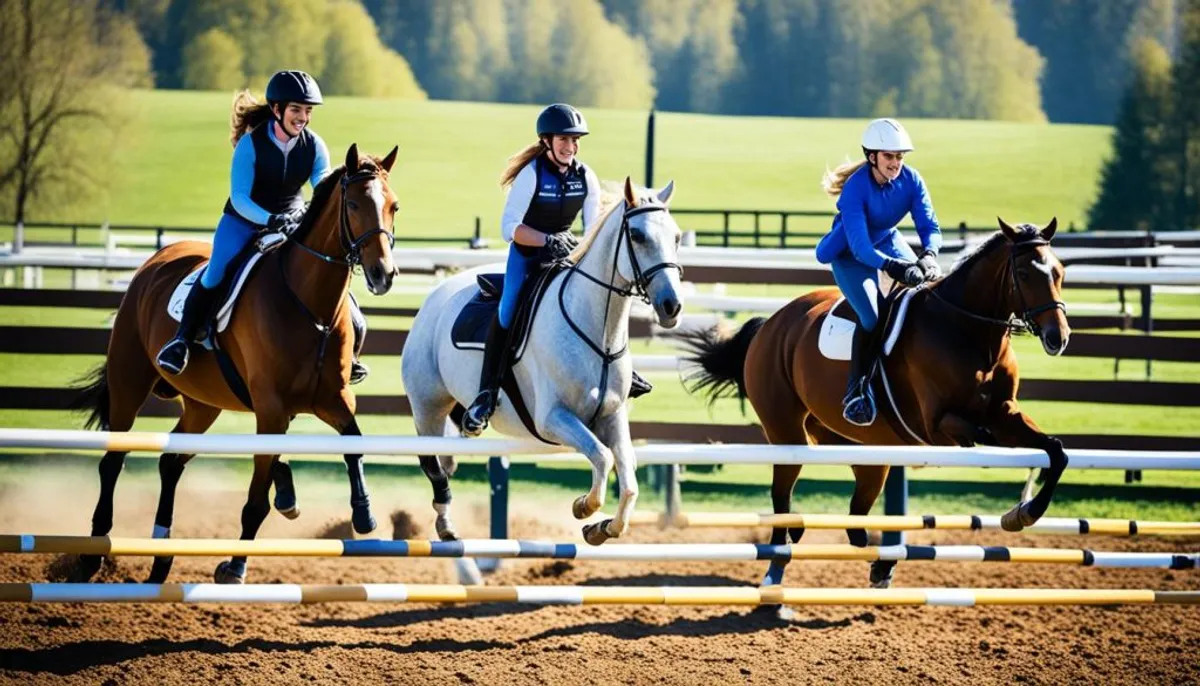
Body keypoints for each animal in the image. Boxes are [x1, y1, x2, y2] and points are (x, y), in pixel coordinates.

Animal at [73, 144, 403, 585]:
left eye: (393, 207)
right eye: (352, 205)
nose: (384, 274)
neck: (309, 303)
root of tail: (156, 260)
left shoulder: (333, 398)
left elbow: (354, 444)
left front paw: (364, 514)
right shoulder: (271, 408)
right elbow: (255, 502)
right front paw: (235, 566)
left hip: (203, 405)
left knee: (170, 462)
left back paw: (161, 557)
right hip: (129, 383)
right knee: (113, 462)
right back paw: (93, 555)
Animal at [403, 176, 686, 546]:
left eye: (677, 237)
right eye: (637, 235)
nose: (672, 306)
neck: (599, 332)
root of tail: (438, 293)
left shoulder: (611, 416)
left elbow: (628, 476)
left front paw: (603, 528)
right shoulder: (553, 418)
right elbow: (602, 455)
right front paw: (584, 506)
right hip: (427, 407)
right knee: (432, 463)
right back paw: (446, 524)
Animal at [686, 218, 1070, 590]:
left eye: (1058, 271)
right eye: (1024, 275)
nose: (1059, 338)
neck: (968, 331)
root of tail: (772, 324)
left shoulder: (1005, 412)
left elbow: (1055, 450)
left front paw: (1026, 512)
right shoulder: (936, 425)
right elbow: (982, 435)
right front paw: (1019, 502)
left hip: (866, 450)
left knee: (856, 514)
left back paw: (878, 562)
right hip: (786, 435)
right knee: (782, 495)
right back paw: (777, 566)